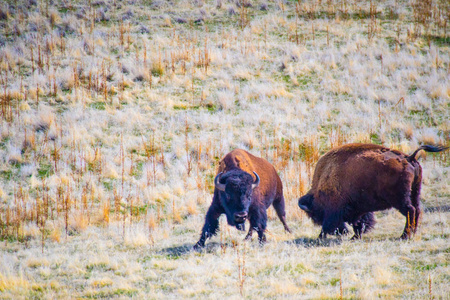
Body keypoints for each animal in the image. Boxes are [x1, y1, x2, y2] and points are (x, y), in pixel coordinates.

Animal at [298, 143, 448, 239]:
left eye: (315, 212)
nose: (341, 233)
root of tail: (409, 158)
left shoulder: (334, 209)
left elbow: (331, 223)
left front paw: (320, 237)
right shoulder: (359, 209)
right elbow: (360, 222)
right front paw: (355, 236)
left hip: (400, 200)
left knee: (410, 210)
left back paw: (404, 236)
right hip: (415, 192)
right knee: (417, 209)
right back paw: (412, 233)